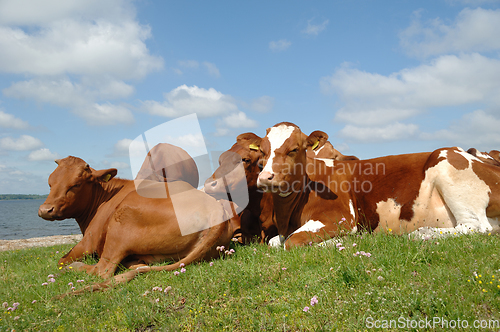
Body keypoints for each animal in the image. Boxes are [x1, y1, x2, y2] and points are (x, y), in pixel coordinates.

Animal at [256, 123, 500, 248]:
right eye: (262, 151)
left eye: (294, 149)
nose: (265, 177)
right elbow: (274, 242)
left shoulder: (338, 217)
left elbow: (293, 242)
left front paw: (343, 241)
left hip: (446, 164)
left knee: (476, 226)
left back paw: (421, 233)